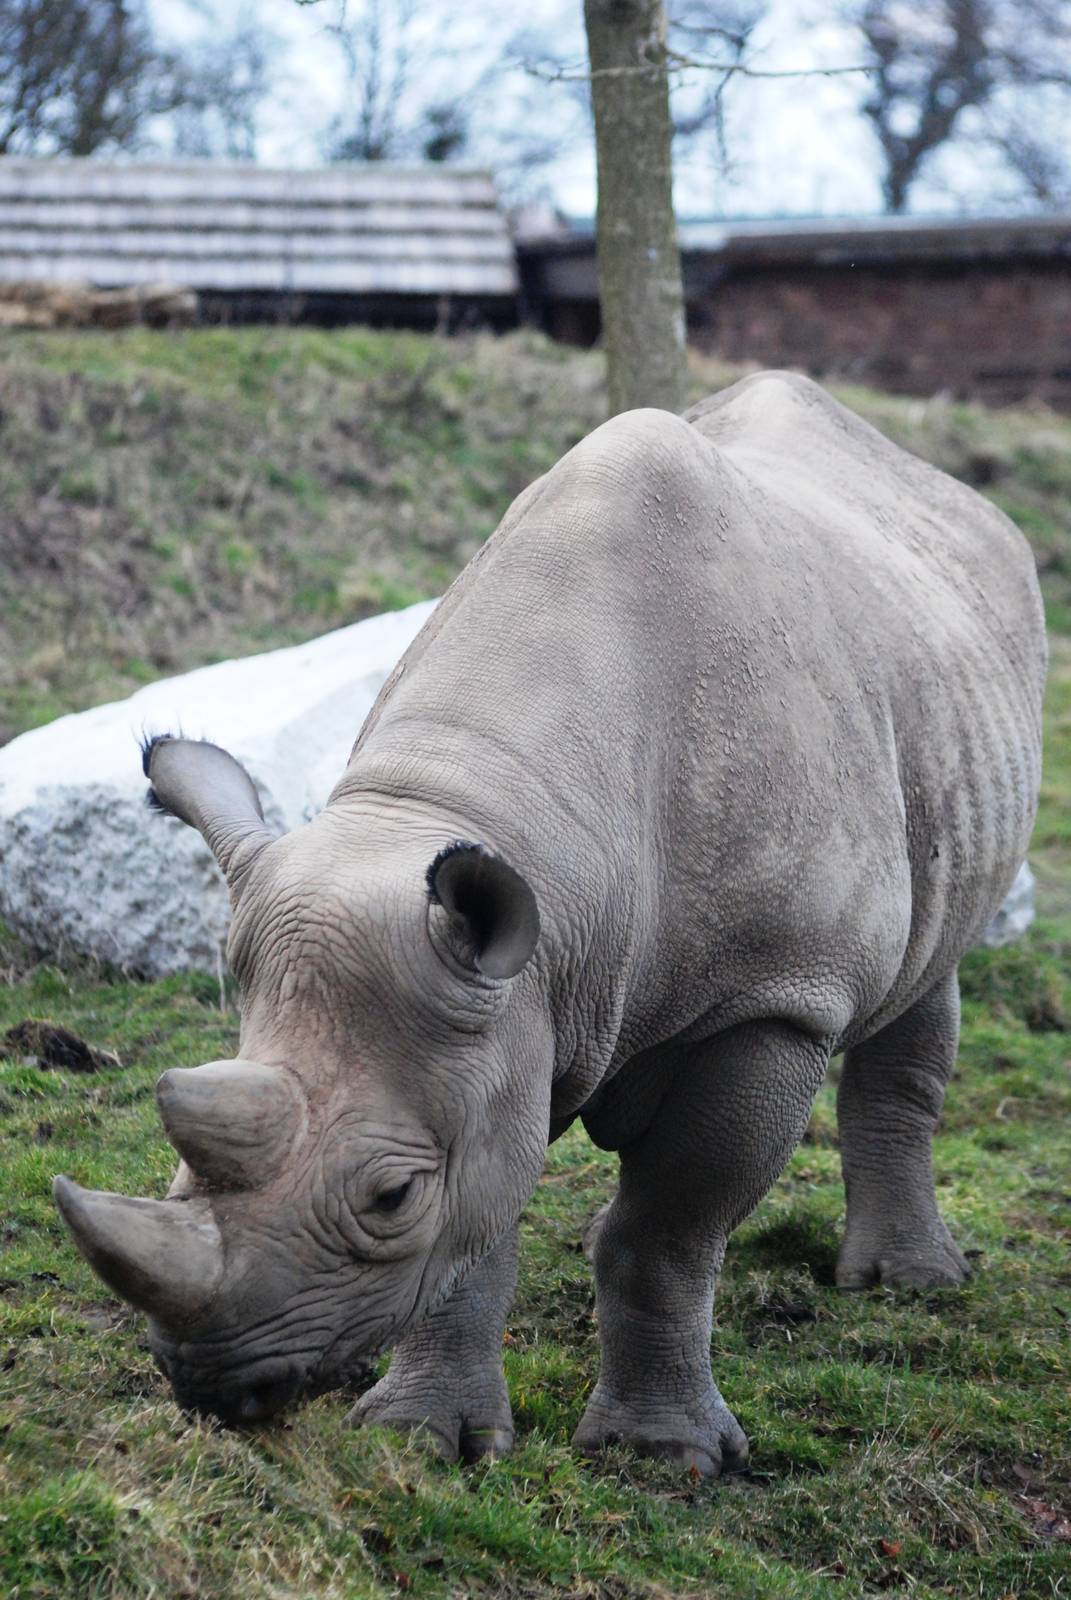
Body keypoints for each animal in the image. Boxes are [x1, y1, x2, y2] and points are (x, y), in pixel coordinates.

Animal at [54, 372, 1045, 1476]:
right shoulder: (501, 1007)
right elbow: (477, 1232)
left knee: (927, 968)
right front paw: (425, 1440)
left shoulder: (776, 998)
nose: (210, 1384)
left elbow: (667, 1230)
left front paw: (661, 1458)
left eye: (390, 1199)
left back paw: (908, 1285)